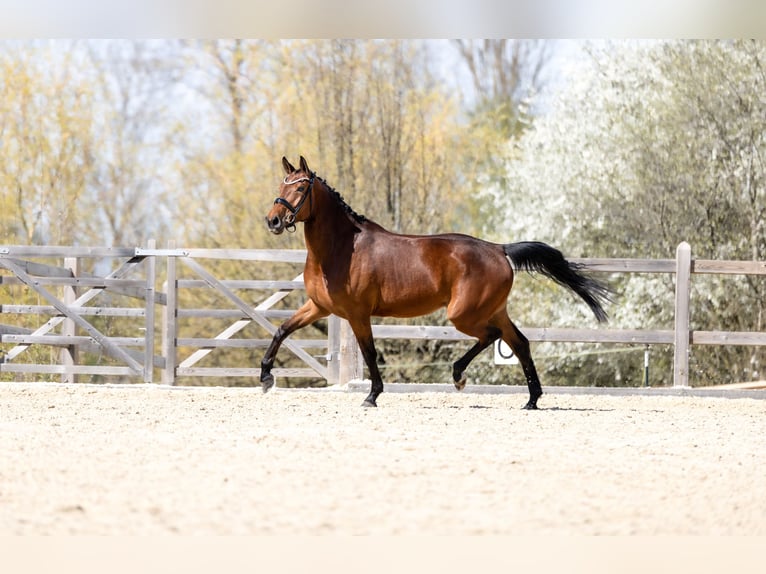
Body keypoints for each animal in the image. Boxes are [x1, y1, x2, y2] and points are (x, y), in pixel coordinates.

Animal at [262, 156, 612, 409]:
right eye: (282, 183)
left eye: (301, 188)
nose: (273, 221)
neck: (342, 248)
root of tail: (498, 249)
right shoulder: (319, 307)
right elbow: (282, 330)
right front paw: (266, 376)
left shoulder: (357, 314)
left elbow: (370, 352)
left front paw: (372, 396)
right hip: (494, 309)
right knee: (520, 342)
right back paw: (531, 400)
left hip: (464, 314)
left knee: (492, 336)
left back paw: (459, 376)